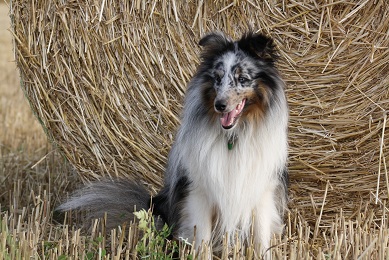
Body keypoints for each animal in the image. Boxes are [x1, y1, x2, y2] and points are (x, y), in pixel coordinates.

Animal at [58, 31, 288, 256]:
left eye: (242, 79)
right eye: (217, 78)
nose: (220, 105)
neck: (233, 136)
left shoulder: (262, 195)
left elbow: (260, 242)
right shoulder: (198, 194)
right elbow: (202, 242)